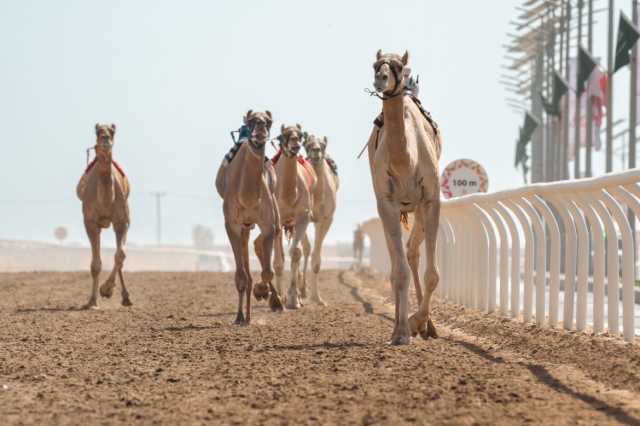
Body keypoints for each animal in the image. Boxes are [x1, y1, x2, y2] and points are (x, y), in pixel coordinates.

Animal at [76, 123, 131, 310]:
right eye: (98, 131)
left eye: (112, 131)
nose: (105, 139)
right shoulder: (90, 222)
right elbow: (95, 264)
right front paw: (92, 301)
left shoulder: (122, 221)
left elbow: (120, 255)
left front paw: (106, 290)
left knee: (120, 256)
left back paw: (125, 297)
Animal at [215, 109, 282, 322]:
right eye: (252, 120)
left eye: (268, 121)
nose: (260, 127)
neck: (248, 198)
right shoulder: (232, 224)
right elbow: (241, 274)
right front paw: (239, 316)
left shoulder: (268, 224)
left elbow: (267, 271)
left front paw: (262, 291)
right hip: (244, 225)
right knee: (245, 264)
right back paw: (244, 315)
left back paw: (272, 302)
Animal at [272, 125, 318, 308]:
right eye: (283, 135)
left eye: (300, 135)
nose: (295, 144)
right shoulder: (276, 220)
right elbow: (278, 262)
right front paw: (279, 298)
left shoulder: (303, 217)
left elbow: (296, 252)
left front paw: (293, 299)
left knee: (303, 249)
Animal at [368, 50, 442, 344]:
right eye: (375, 65)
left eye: (399, 66)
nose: (381, 78)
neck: (405, 160)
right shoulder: (386, 202)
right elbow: (398, 272)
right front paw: (402, 331)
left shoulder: (431, 199)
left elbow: (432, 274)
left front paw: (417, 323)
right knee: (398, 260)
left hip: (418, 208)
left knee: (412, 252)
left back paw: (427, 325)